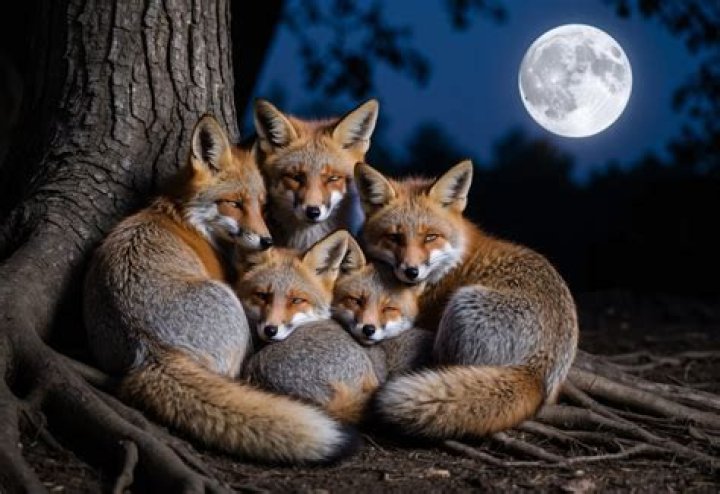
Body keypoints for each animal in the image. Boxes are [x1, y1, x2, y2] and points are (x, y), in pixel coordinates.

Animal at [83, 115, 355, 464]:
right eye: (234, 204)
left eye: (261, 206)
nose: (267, 241)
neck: (184, 219)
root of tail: (149, 348)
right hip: (228, 301)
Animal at [354, 160, 579, 439]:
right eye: (395, 237)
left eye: (430, 237)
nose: (411, 271)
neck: (454, 262)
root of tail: (539, 370)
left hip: (460, 305)